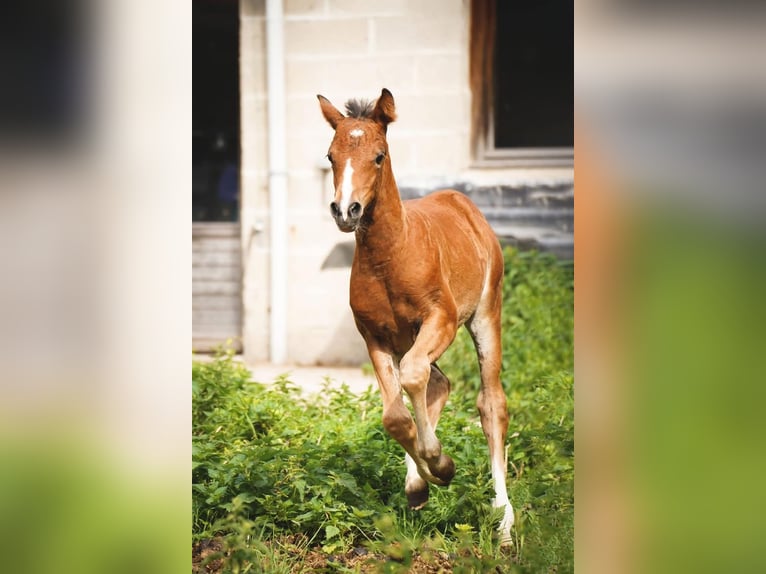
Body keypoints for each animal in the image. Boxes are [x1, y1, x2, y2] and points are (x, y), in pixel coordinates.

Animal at [318, 88, 516, 544]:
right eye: (331, 156)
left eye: (379, 156)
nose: (346, 211)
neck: (390, 257)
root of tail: (462, 203)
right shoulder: (374, 336)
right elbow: (395, 415)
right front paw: (431, 473)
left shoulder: (439, 319)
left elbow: (412, 379)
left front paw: (440, 463)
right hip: (409, 337)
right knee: (437, 382)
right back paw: (420, 483)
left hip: (484, 314)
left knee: (490, 401)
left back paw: (503, 520)